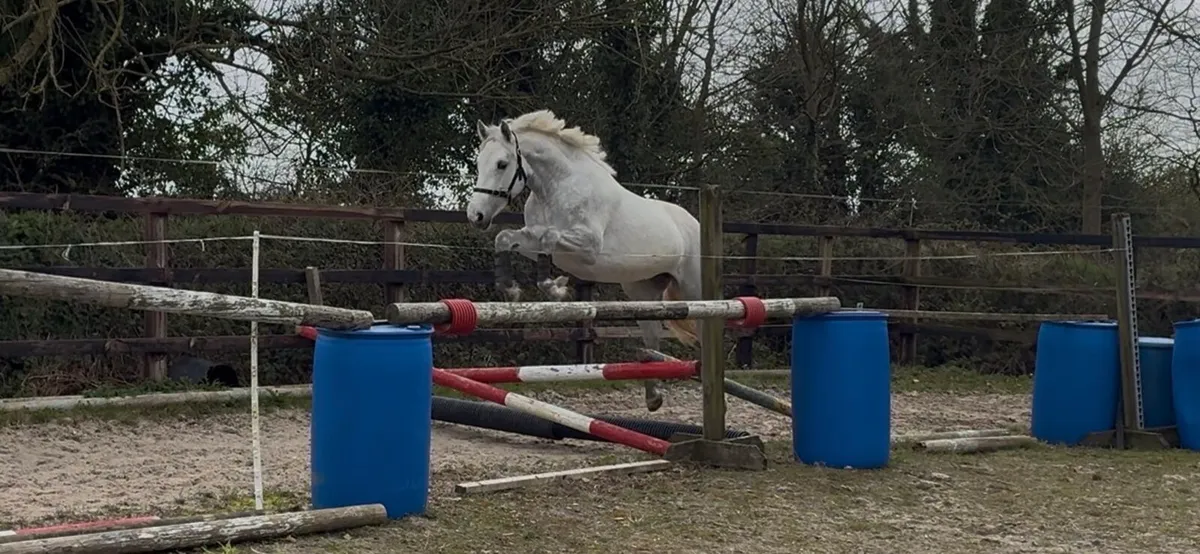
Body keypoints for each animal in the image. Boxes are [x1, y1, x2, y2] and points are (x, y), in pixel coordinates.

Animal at [464, 109, 703, 412]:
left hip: (694, 289)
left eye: (501, 164)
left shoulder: (587, 247)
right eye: (478, 163)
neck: (556, 187)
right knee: (652, 335)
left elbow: (549, 236)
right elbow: (506, 238)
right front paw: (513, 290)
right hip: (642, 289)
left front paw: (556, 288)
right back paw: (653, 396)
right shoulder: (533, 240)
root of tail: (694, 222)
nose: (476, 216)